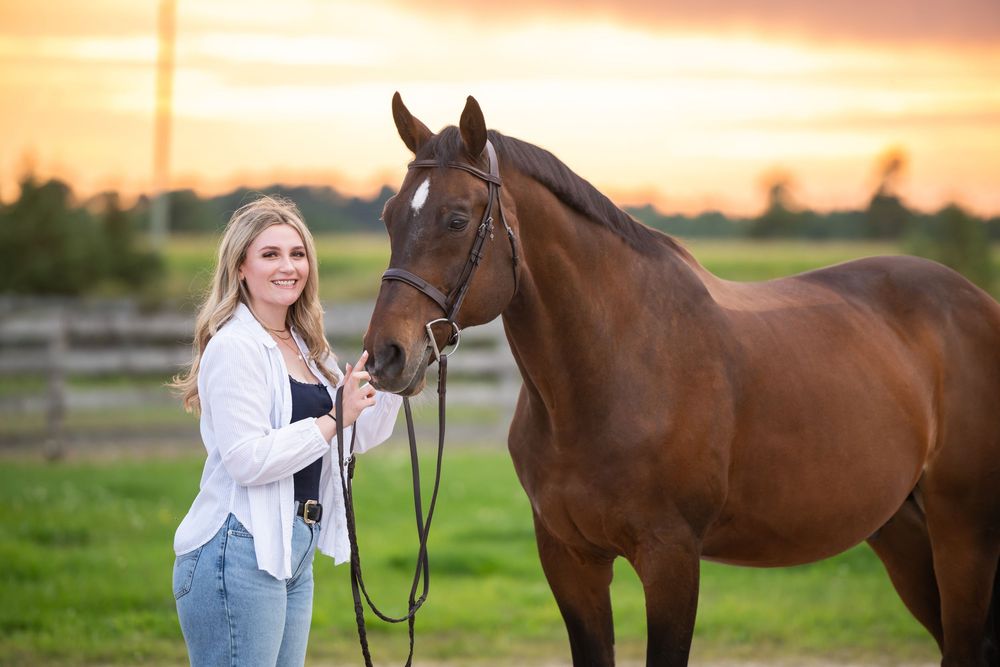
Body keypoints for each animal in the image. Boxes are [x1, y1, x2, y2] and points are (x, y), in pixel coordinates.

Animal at [362, 93, 1000, 667]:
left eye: (456, 219)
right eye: (389, 217)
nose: (386, 356)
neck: (611, 372)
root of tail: (976, 301)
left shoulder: (671, 559)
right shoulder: (570, 559)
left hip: (963, 530)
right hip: (902, 532)